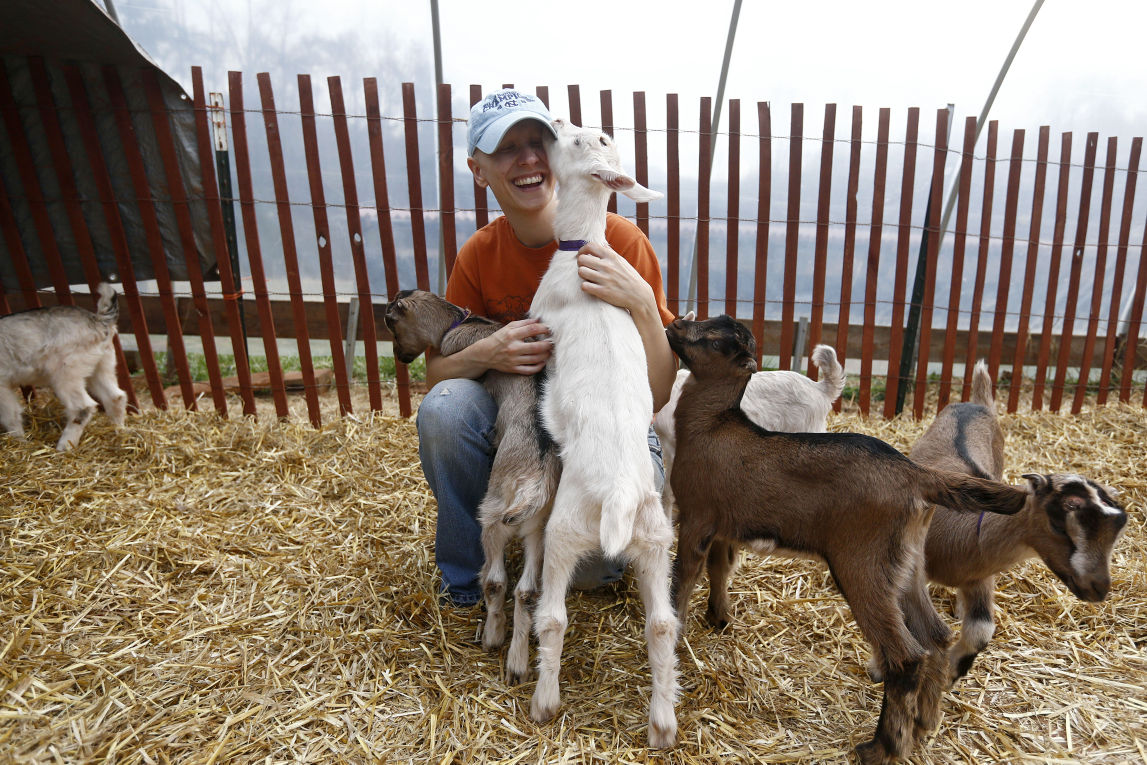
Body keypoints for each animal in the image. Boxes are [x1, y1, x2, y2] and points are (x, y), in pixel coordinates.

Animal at [0, 283, 127, 451]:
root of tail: (99, 319)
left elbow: (10, 415)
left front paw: (19, 442)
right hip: (101, 365)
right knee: (115, 397)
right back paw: (119, 433)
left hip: (67, 371)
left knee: (82, 407)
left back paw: (64, 447)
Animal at [382, 289, 559, 681]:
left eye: (391, 324)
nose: (399, 357)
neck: (460, 322)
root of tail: (535, 485)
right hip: (538, 530)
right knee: (527, 591)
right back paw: (517, 663)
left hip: (492, 518)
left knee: (495, 580)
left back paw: (492, 637)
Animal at [873, 360, 1128, 684]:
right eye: (1060, 523)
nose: (1099, 588)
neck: (965, 529)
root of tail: (977, 403)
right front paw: (879, 669)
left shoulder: (979, 576)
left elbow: (982, 629)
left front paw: (952, 671)